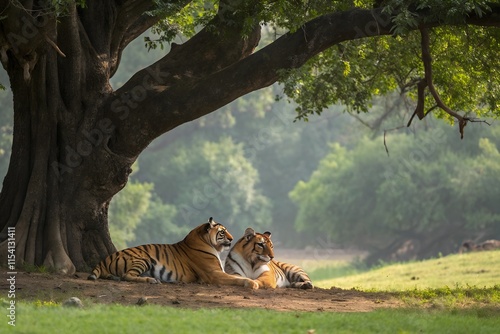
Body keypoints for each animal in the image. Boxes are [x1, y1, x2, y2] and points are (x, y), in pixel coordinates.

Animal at [88, 218, 258, 288]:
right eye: (222, 232)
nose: (232, 238)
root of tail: (105, 260)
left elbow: (237, 276)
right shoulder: (214, 273)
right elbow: (235, 279)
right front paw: (252, 283)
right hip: (142, 258)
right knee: (126, 276)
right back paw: (152, 280)